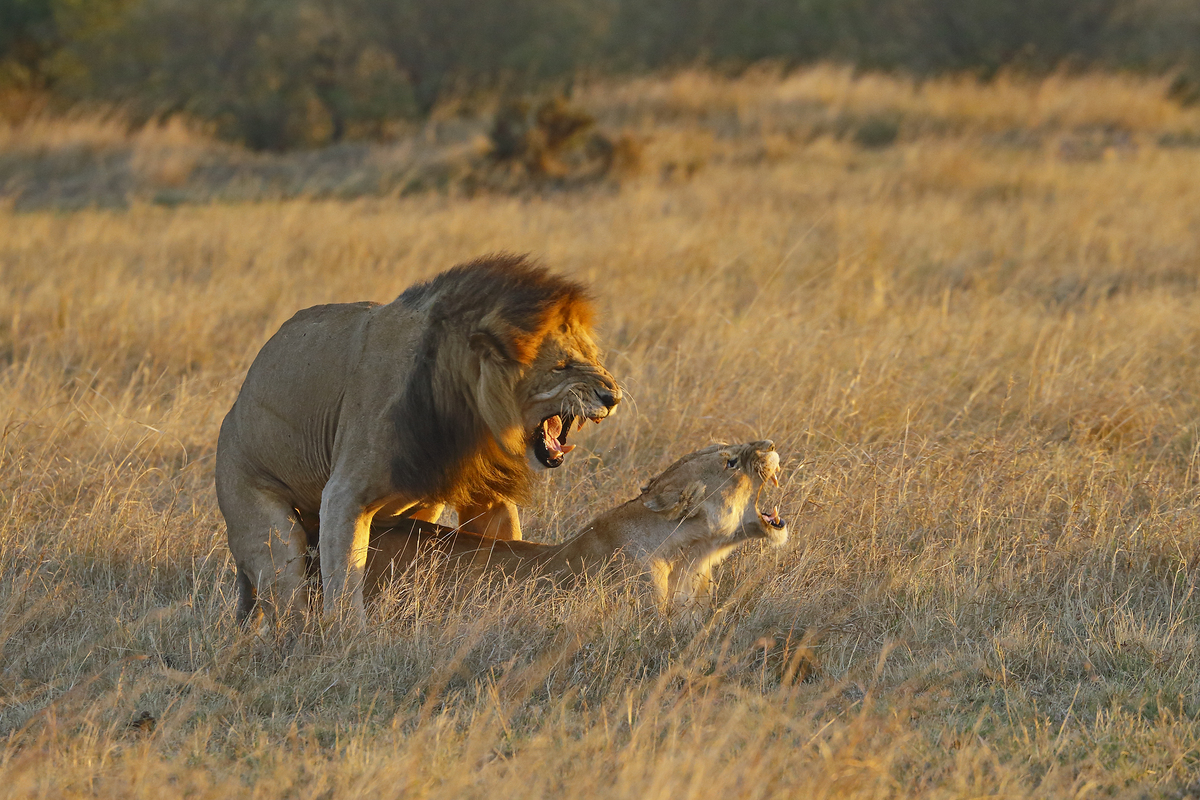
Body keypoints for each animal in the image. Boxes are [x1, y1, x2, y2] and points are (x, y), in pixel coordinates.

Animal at [216, 254, 622, 626]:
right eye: (562, 366)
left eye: (593, 356)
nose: (612, 396)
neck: (467, 411)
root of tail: (233, 412)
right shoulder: (344, 493)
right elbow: (345, 581)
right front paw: (352, 641)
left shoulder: (487, 493)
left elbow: (507, 544)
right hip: (267, 524)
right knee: (288, 601)